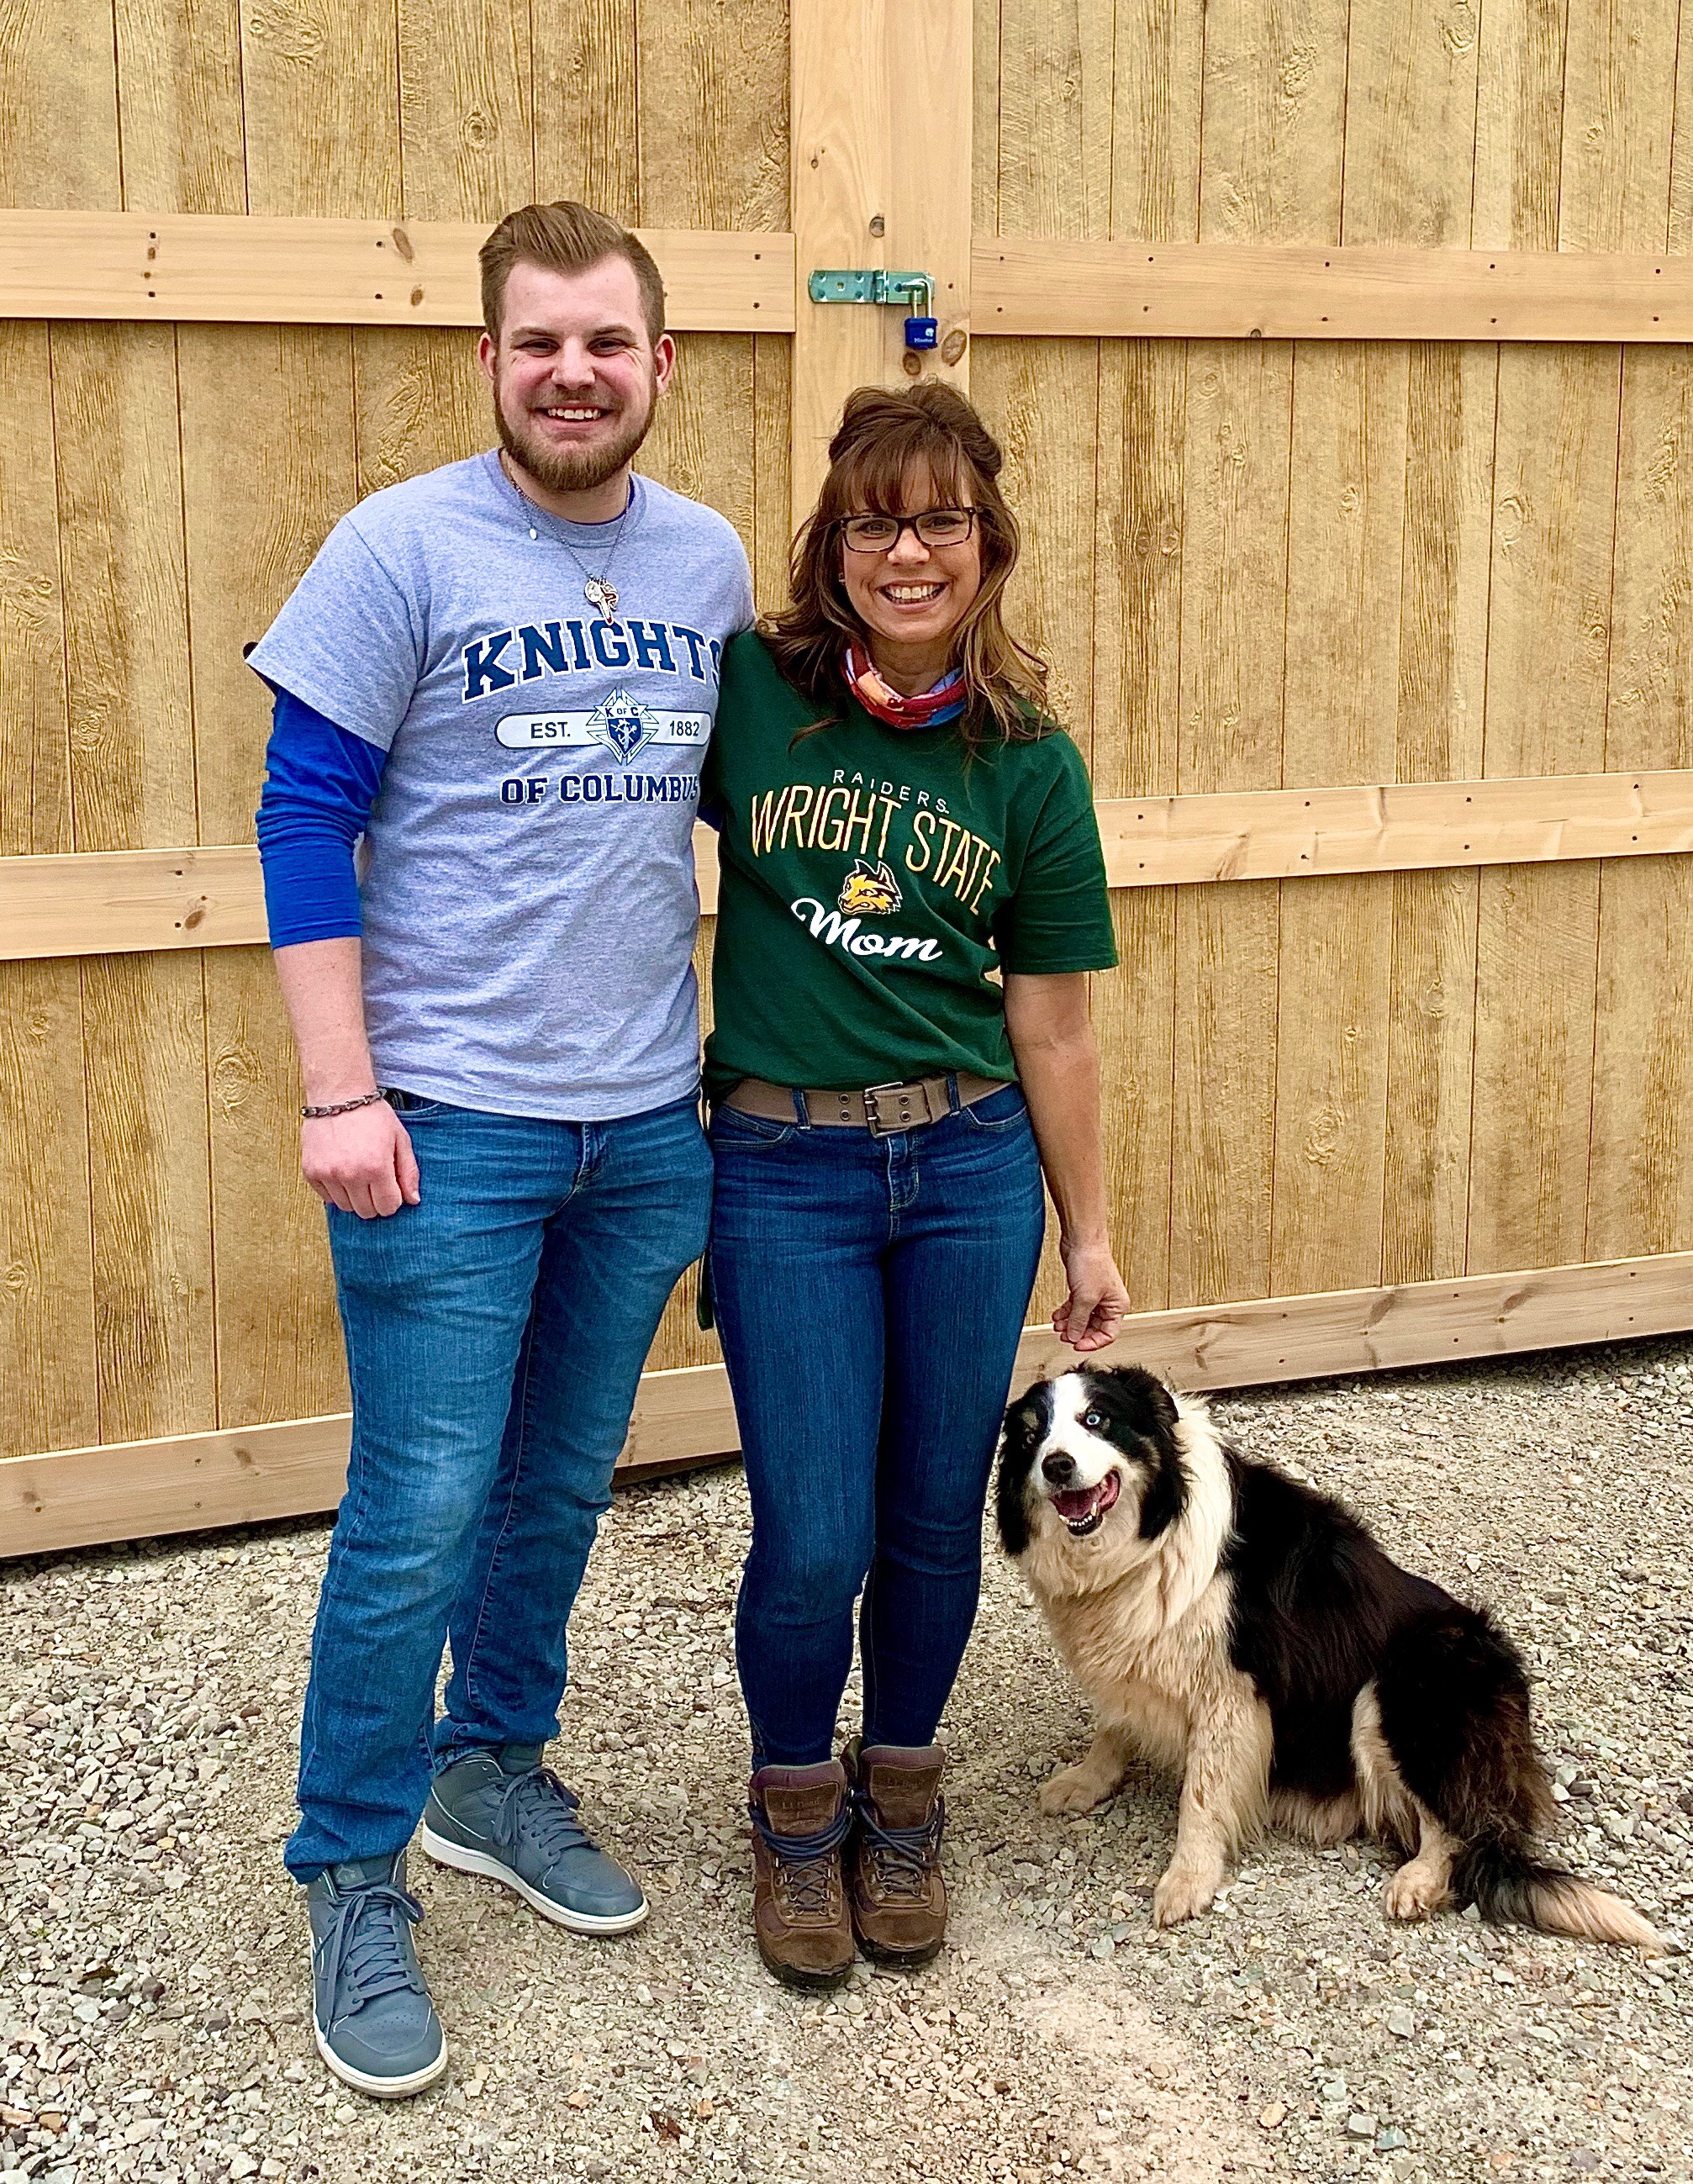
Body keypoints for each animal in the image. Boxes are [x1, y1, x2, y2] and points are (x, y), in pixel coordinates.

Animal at [995, 1363, 1661, 1950]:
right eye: (1030, 1436)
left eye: (1097, 1419)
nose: (1056, 1465)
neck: (1146, 1539)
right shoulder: (1133, 1655)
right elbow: (1114, 1726)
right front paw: (1087, 1782)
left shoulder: (1231, 1688)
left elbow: (1201, 1798)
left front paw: (1187, 1881)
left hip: (1396, 1689)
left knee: (1459, 1825)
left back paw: (1416, 1881)